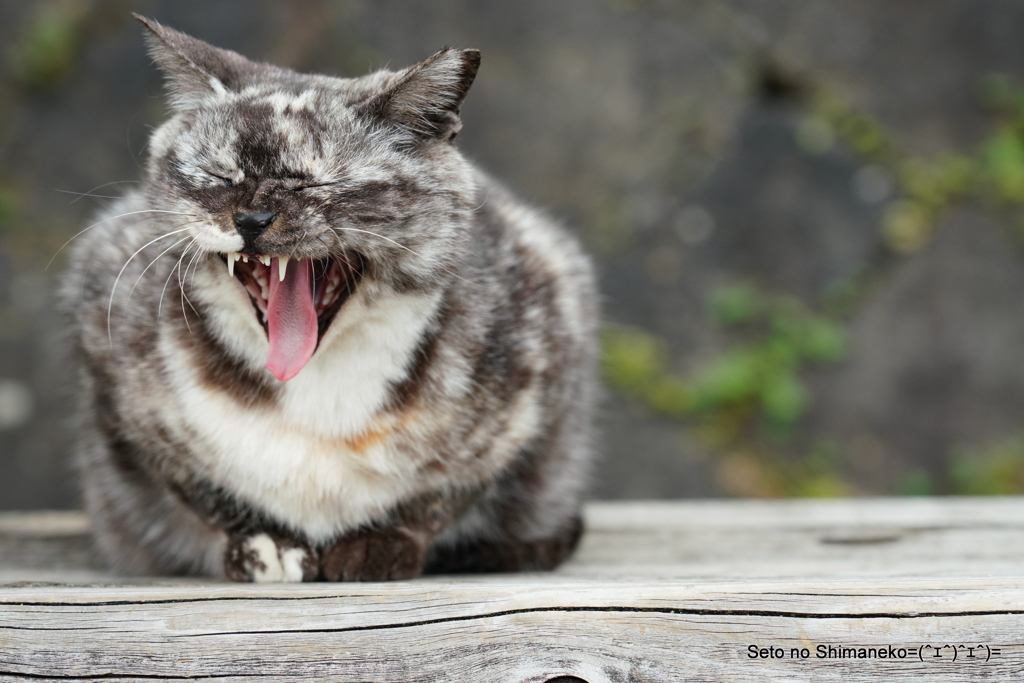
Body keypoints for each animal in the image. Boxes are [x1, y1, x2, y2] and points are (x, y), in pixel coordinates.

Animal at [58, 15, 598, 581]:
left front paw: (379, 543)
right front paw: (266, 545)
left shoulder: (539, 361)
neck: (314, 388)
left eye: (316, 184)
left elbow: (442, 493)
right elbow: (203, 489)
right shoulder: (117, 379)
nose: (251, 219)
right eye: (220, 176)